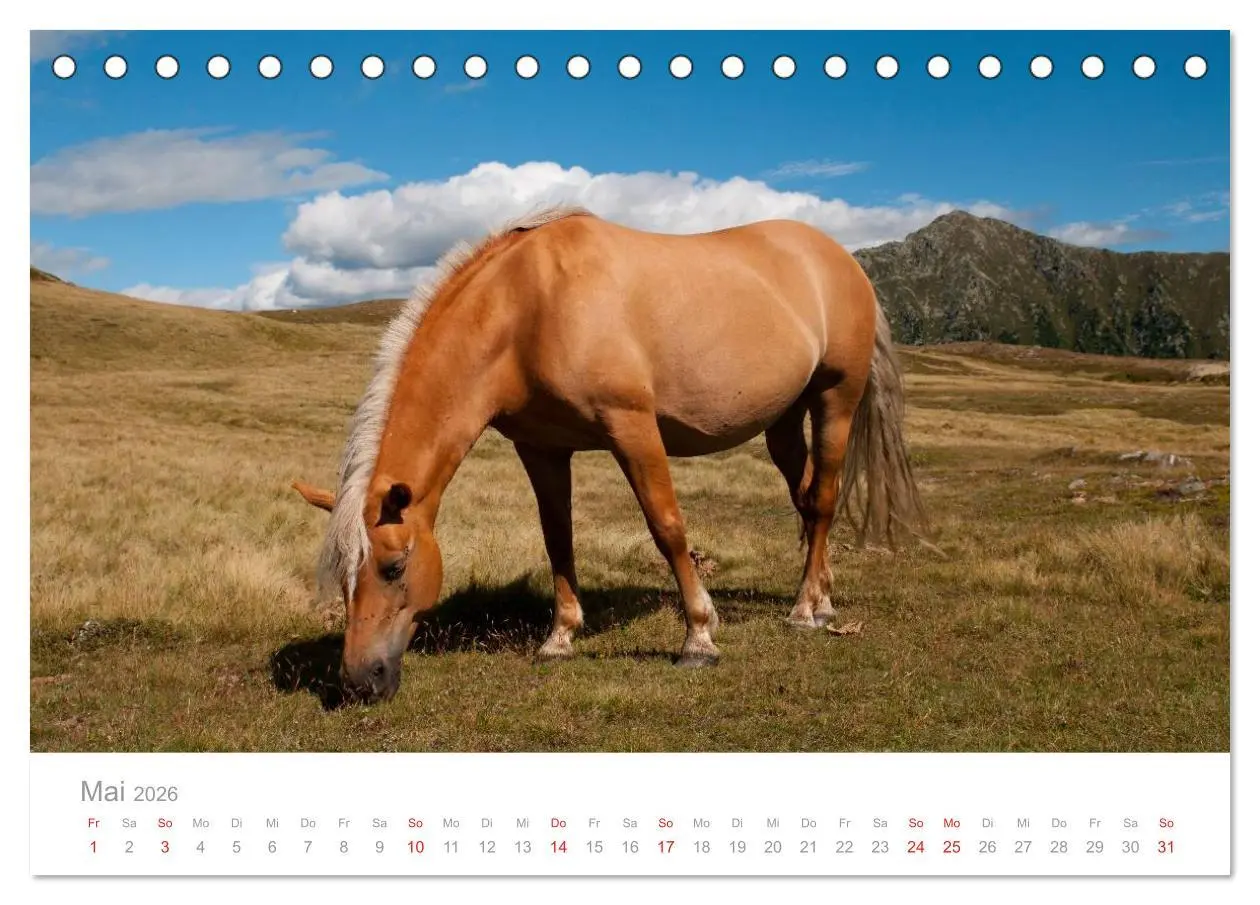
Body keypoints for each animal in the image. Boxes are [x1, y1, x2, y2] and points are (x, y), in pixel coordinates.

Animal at [292, 206, 926, 703]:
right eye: (341, 577)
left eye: (394, 567)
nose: (360, 681)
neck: (527, 308)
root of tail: (841, 259)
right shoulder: (542, 447)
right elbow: (558, 538)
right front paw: (560, 637)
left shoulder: (632, 427)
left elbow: (667, 527)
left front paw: (699, 636)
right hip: (784, 422)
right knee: (806, 499)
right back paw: (822, 597)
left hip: (835, 400)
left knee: (821, 501)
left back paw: (804, 611)